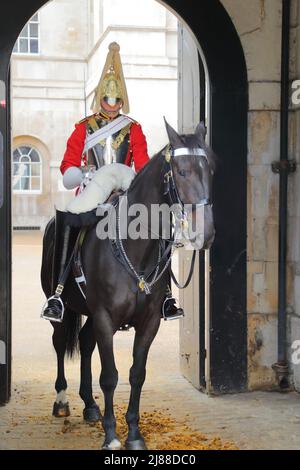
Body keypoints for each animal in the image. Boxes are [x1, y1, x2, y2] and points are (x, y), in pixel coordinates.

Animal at [41, 119, 217, 450]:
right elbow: (110, 376)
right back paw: (62, 401)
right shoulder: (105, 318)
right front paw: (111, 436)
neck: (134, 247)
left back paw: (90, 405)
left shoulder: (148, 322)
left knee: (85, 342)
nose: (206, 232)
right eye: (181, 171)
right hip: (62, 305)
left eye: (211, 168)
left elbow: (137, 374)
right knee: (59, 342)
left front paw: (134, 434)